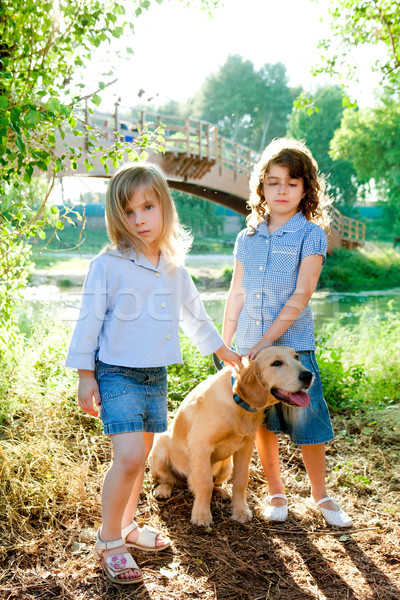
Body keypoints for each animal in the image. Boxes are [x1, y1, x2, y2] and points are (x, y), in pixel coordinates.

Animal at [149, 346, 312, 524]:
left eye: (297, 357)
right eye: (276, 363)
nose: (308, 376)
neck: (237, 402)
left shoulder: (246, 446)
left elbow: (240, 480)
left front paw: (240, 510)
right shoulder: (200, 445)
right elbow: (204, 482)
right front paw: (201, 515)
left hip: (226, 466)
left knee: (214, 483)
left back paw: (221, 492)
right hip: (158, 449)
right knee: (167, 479)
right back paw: (164, 489)